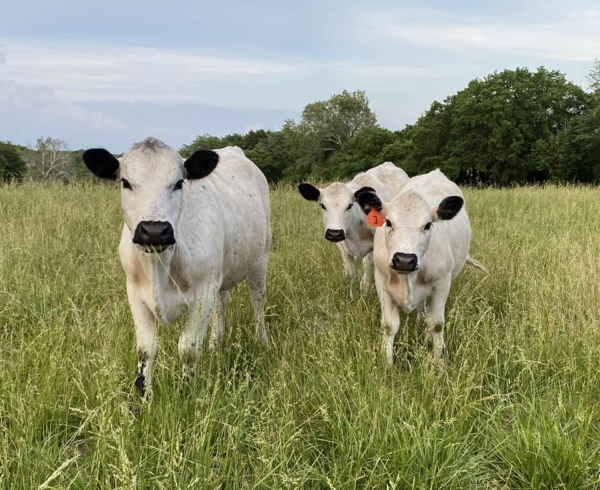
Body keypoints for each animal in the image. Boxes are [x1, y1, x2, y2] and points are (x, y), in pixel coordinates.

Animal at [83, 137, 270, 394]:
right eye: (125, 182)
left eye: (179, 183)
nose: (154, 230)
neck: (159, 265)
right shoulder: (134, 292)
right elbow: (146, 349)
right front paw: (144, 395)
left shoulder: (203, 292)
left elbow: (188, 348)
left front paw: (186, 393)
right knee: (222, 303)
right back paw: (215, 344)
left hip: (261, 257)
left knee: (257, 301)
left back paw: (261, 340)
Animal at [298, 163, 410, 296]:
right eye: (322, 205)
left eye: (349, 205)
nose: (334, 233)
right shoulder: (342, 245)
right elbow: (349, 273)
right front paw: (350, 295)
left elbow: (367, 267)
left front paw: (364, 293)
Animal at [356, 170, 488, 366]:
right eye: (388, 222)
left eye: (427, 225)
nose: (404, 259)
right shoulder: (381, 280)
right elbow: (388, 326)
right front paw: (387, 364)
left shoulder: (442, 283)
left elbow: (436, 324)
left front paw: (438, 362)